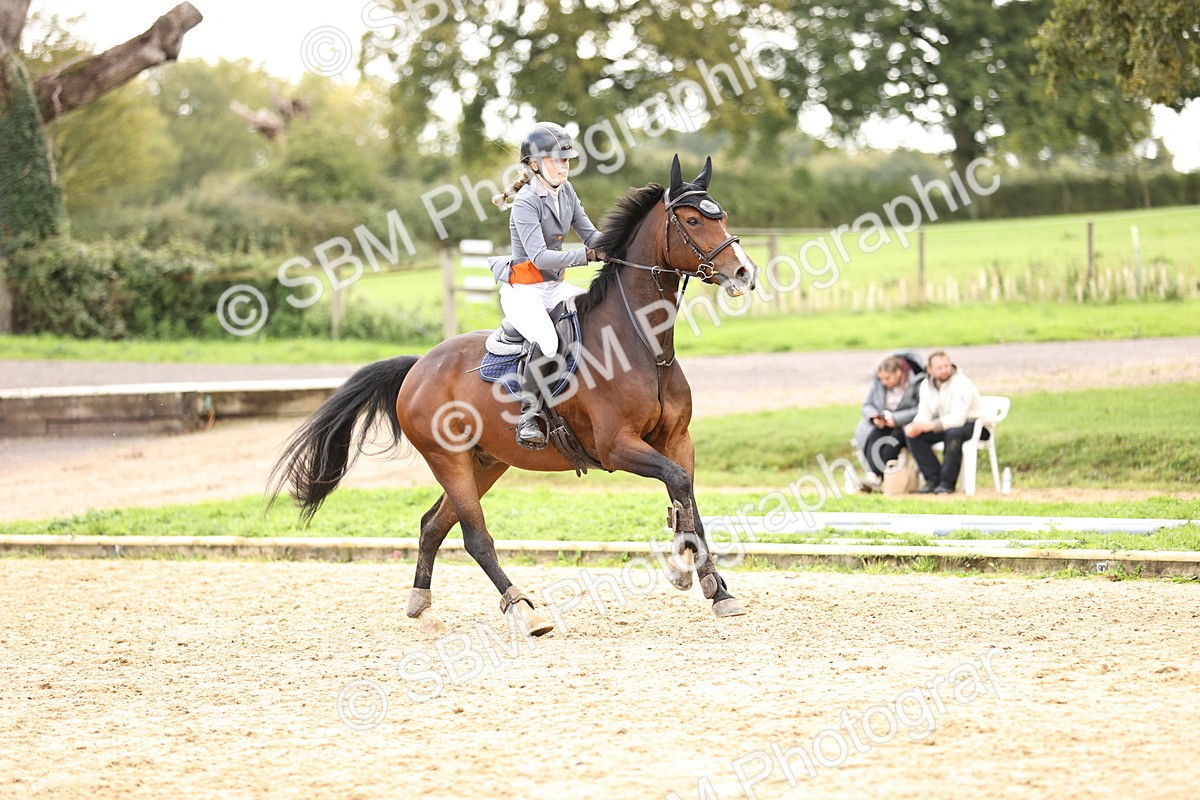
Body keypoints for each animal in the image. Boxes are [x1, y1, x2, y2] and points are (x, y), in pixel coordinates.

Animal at [268, 155, 758, 636]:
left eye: (722, 215)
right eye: (692, 220)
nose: (744, 273)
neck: (643, 346)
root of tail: (419, 365)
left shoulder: (677, 440)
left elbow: (687, 494)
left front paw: (716, 589)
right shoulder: (617, 447)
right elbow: (677, 484)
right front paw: (682, 569)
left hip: (486, 463)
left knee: (433, 525)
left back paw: (422, 607)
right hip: (448, 460)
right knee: (474, 537)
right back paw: (524, 610)